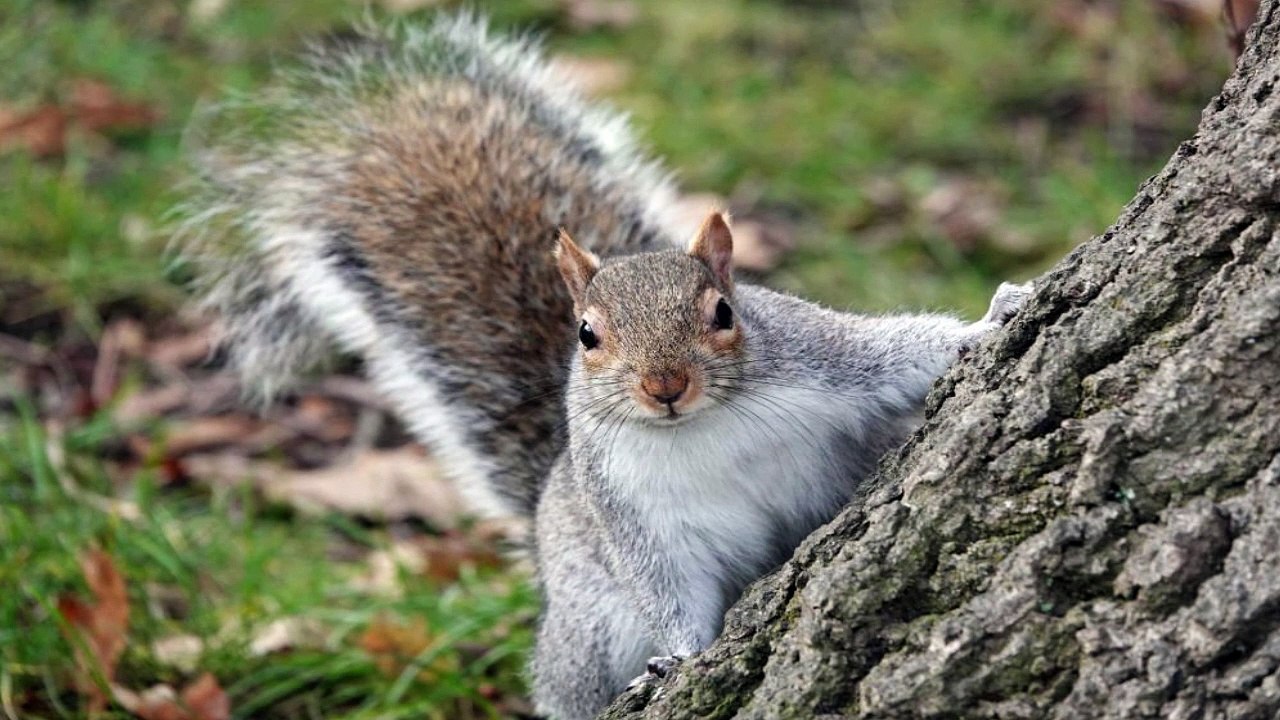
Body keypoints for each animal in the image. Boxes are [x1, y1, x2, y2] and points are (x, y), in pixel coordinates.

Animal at [176, 14, 1031, 720]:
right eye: (585, 336)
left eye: (724, 314)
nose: (665, 387)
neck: (704, 426)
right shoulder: (628, 507)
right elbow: (665, 585)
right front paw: (683, 657)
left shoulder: (819, 357)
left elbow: (894, 351)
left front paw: (993, 316)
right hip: (586, 632)